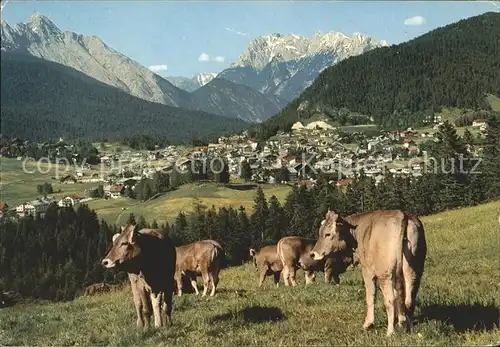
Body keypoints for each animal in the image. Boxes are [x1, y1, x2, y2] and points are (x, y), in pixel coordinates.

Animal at [310, 209, 428, 338]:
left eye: (327, 234)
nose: (313, 254)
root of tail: (402, 214)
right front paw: (401, 321)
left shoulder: (367, 270)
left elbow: (370, 296)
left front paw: (368, 324)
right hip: (415, 269)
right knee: (409, 298)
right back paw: (409, 328)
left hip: (384, 274)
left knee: (390, 300)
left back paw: (390, 332)